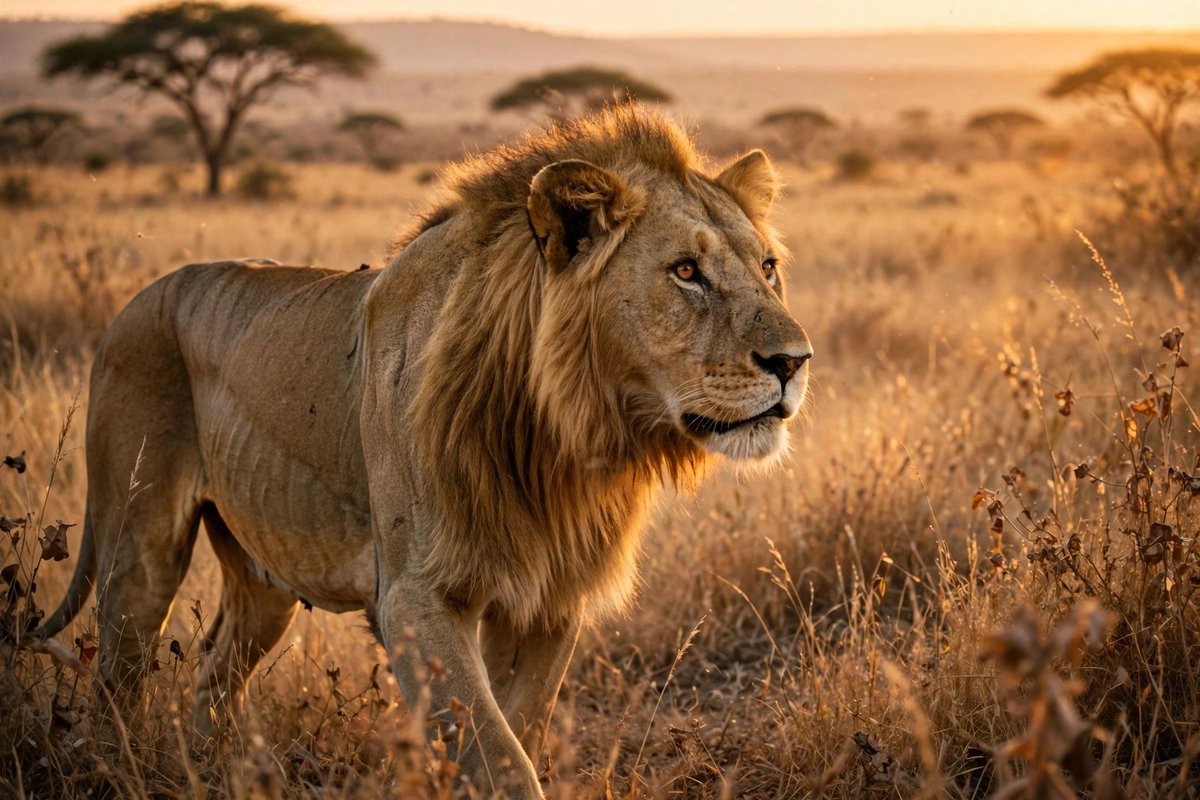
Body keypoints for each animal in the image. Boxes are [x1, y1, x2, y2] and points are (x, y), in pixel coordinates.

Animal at [36, 107, 811, 798]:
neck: (560, 438)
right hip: (140, 549)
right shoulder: (414, 597)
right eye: (685, 272)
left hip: (262, 581)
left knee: (215, 673)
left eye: (769, 267)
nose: (794, 361)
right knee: (117, 682)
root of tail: (132, 305)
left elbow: (517, 732)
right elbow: (499, 761)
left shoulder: (550, 604)